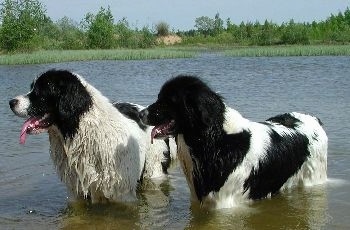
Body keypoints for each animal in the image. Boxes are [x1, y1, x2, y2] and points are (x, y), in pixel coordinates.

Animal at [8, 69, 175, 203]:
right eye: (31, 88)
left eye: (40, 92)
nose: (11, 102)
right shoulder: (77, 191)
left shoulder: (122, 193)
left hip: (154, 169)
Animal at [140, 76, 328, 209]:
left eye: (168, 101)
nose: (141, 113)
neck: (215, 140)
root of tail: (314, 119)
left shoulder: (224, 203)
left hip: (314, 177)